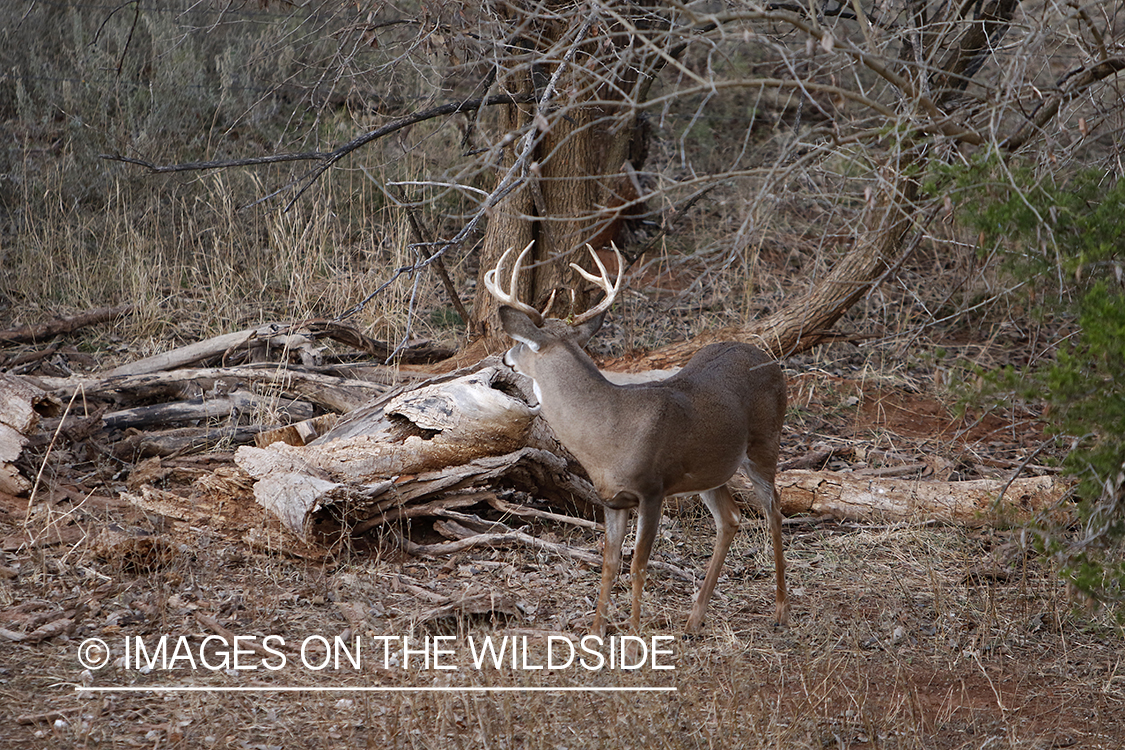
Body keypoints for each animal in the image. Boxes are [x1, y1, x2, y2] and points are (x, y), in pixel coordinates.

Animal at [486, 244, 792, 638]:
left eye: (520, 343)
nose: (504, 356)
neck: (609, 433)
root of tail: (767, 358)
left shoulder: (652, 489)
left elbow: (638, 565)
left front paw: (632, 637)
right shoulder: (612, 498)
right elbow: (609, 562)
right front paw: (596, 631)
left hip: (765, 442)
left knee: (774, 509)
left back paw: (781, 610)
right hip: (710, 470)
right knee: (731, 518)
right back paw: (694, 620)